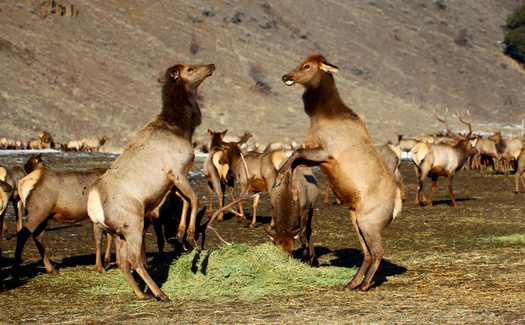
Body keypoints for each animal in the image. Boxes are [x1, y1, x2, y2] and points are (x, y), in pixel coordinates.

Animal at [87, 62, 214, 300]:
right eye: (190, 69)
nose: (211, 65)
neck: (183, 128)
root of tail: (93, 210)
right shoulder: (176, 170)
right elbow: (193, 198)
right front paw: (191, 234)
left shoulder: (172, 179)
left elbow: (185, 201)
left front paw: (181, 232)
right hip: (133, 223)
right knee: (134, 259)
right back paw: (159, 292)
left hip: (117, 233)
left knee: (122, 261)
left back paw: (141, 294)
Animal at [272, 55, 400, 292]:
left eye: (307, 65)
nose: (285, 76)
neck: (320, 116)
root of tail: (397, 207)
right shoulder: (320, 155)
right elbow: (296, 162)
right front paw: (292, 193)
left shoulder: (327, 151)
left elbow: (295, 154)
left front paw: (278, 179)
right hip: (355, 217)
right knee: (367, 252)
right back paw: (351, 283)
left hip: (369, 222)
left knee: (378, 251)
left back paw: (364, 285)